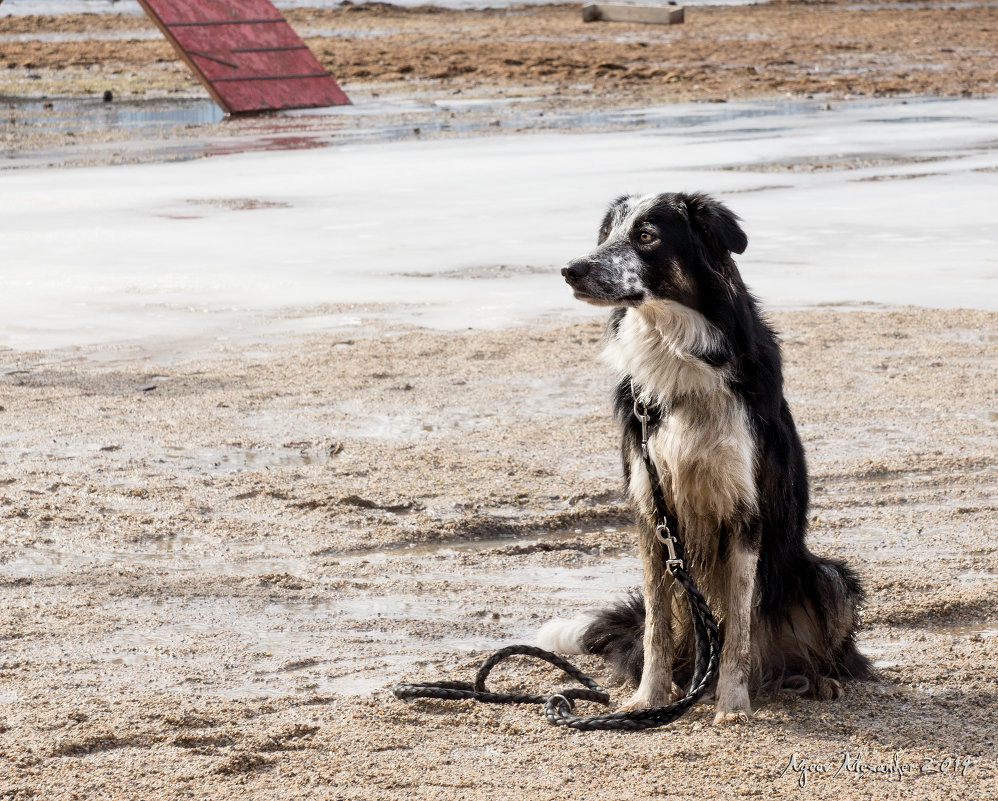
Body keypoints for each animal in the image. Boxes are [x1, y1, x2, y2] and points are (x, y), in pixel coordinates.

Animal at [540, 191, 876, 720]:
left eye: (646, 236)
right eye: (607, 235)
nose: (570, 270)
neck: (677, 352)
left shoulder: (745, 510)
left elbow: (737, 626)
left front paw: (732, 707)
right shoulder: (653, 512)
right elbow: (657, 625)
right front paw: (649, 699)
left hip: (826, 577)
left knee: (817, 650)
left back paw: (815, 679)